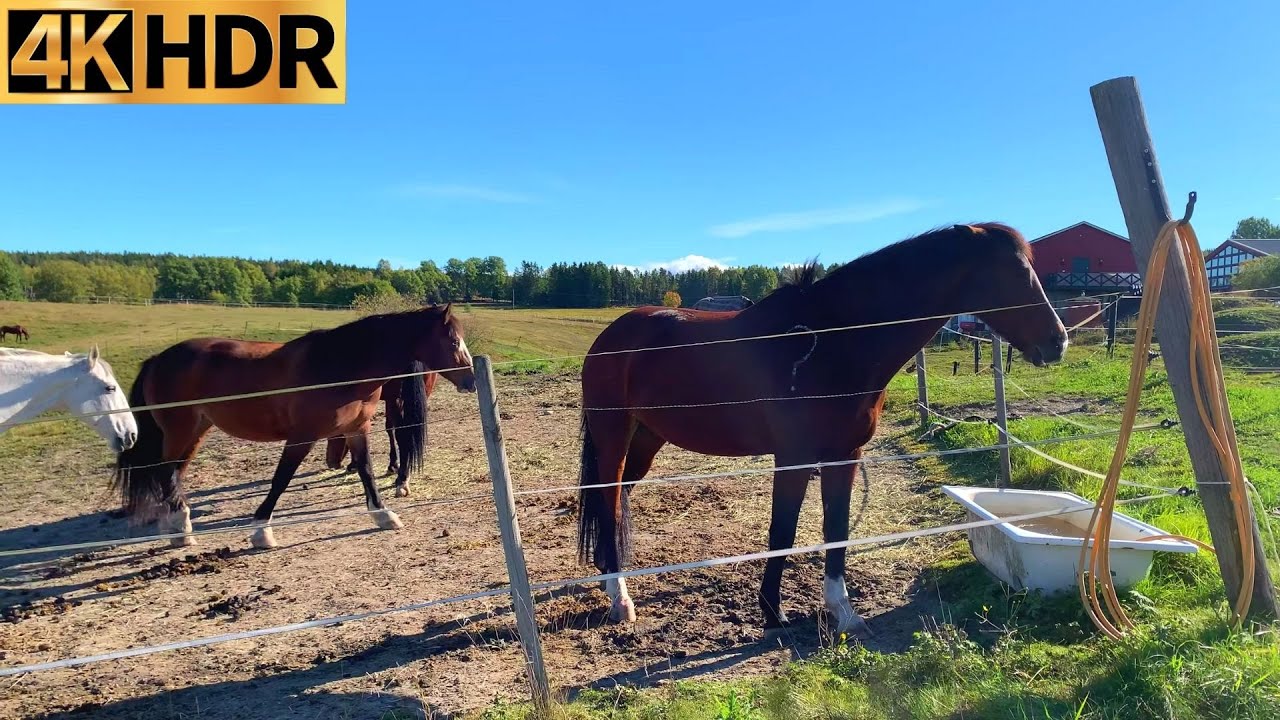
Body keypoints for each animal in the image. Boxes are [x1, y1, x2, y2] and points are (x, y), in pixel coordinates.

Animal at [112, 304, 476, 550]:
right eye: (453, 342)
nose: (472, 380)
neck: (344, 364)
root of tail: (158, 359)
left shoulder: (357, 429)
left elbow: (367, 472)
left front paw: (383, 515)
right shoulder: (302, 437)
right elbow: (281, 480)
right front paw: (261, 531)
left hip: (195, 431)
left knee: (171, 472)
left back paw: (175, 527)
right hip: (181, 431)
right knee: (165, 471)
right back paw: (181, 528)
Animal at [575, 223, 1068, 639]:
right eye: (1014, 272)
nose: (1058, 341)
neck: (832, 341)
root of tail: (609, 339)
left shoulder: (845, 454)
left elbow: (837, 528)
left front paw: (842, 613)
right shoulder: (794, 457)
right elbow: (782, 532)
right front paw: (772, 613)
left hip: (646, 439)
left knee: (613, 502)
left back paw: (608, 579)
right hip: (614, 436)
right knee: (609, 500)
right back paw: (621, 599)